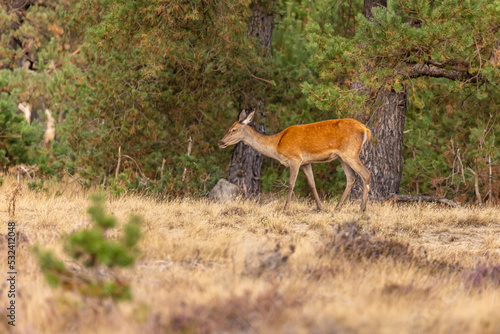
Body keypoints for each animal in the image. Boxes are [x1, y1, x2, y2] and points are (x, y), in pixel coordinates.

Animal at [219, 111, 372, 213]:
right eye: (229, 128)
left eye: (233, 129)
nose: (221, 142)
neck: (277, 145)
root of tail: (366, 129)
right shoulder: (305, 162)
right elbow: (312, 184)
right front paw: (320, 208)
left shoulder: (295, 159)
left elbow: (291, 184)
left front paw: (285, 208)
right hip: (342, 157)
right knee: (351, 177)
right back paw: (337, 208)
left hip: (350, 153)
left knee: (366, 174)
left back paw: (362, 208)